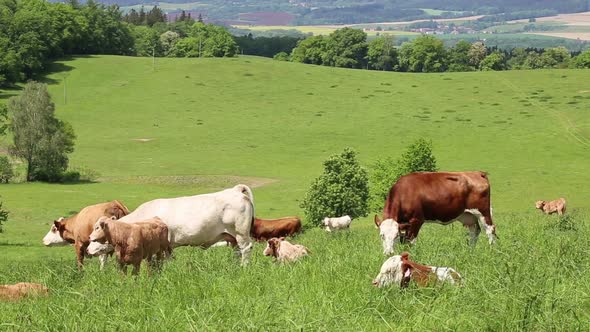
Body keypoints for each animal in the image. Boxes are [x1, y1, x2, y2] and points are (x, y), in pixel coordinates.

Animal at [89, 184, 256, 264]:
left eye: (97, 227)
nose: (89, 244)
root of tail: (235, 190)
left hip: (240, 232)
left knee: (246, 248)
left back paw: (244, 267)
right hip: (232, 237)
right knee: (238, 251)